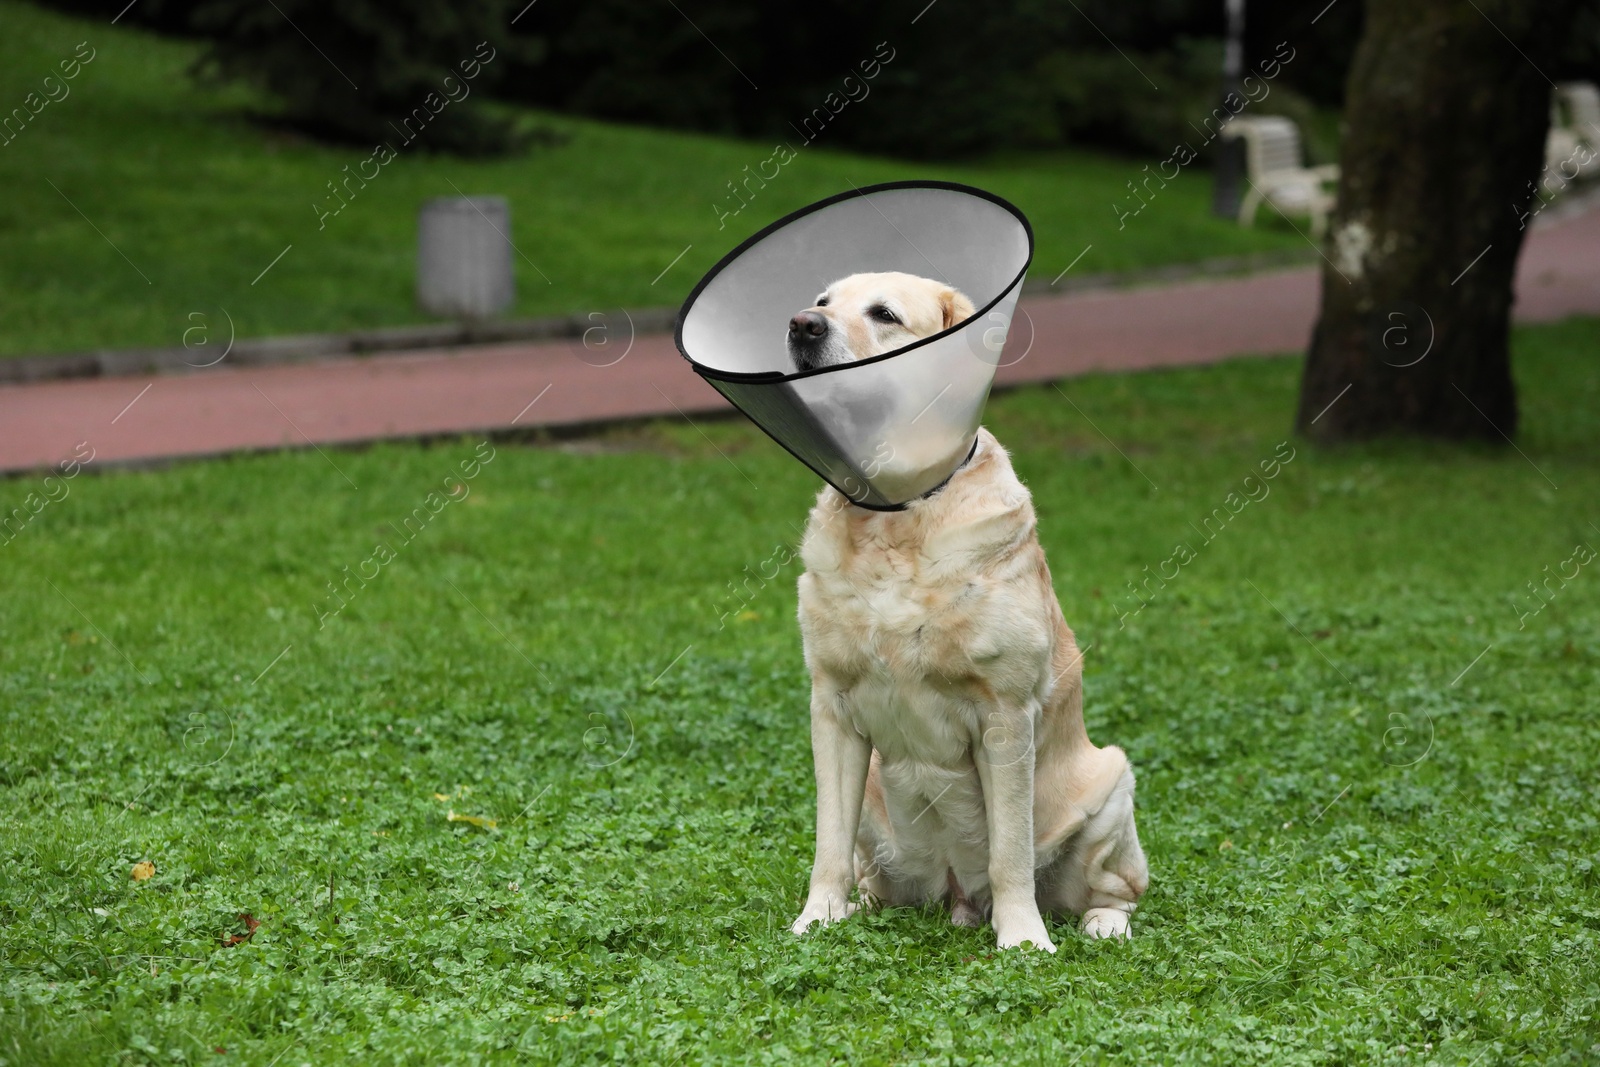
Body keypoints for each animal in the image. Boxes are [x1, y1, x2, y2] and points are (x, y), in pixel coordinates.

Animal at [780, 273, 1145, 953]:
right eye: (821, 303)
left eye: (884, 314)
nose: (801, 326)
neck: (896, 519)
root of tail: (956, 895)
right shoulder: (832, 708)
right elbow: (827, 844)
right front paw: (816, 918)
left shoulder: (1004, 713)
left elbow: (1009, 850)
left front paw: (1023, 940)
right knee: (867, 866)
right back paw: (862, 906)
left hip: (1111, 787)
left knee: (1114, 889)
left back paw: (1100, 923)